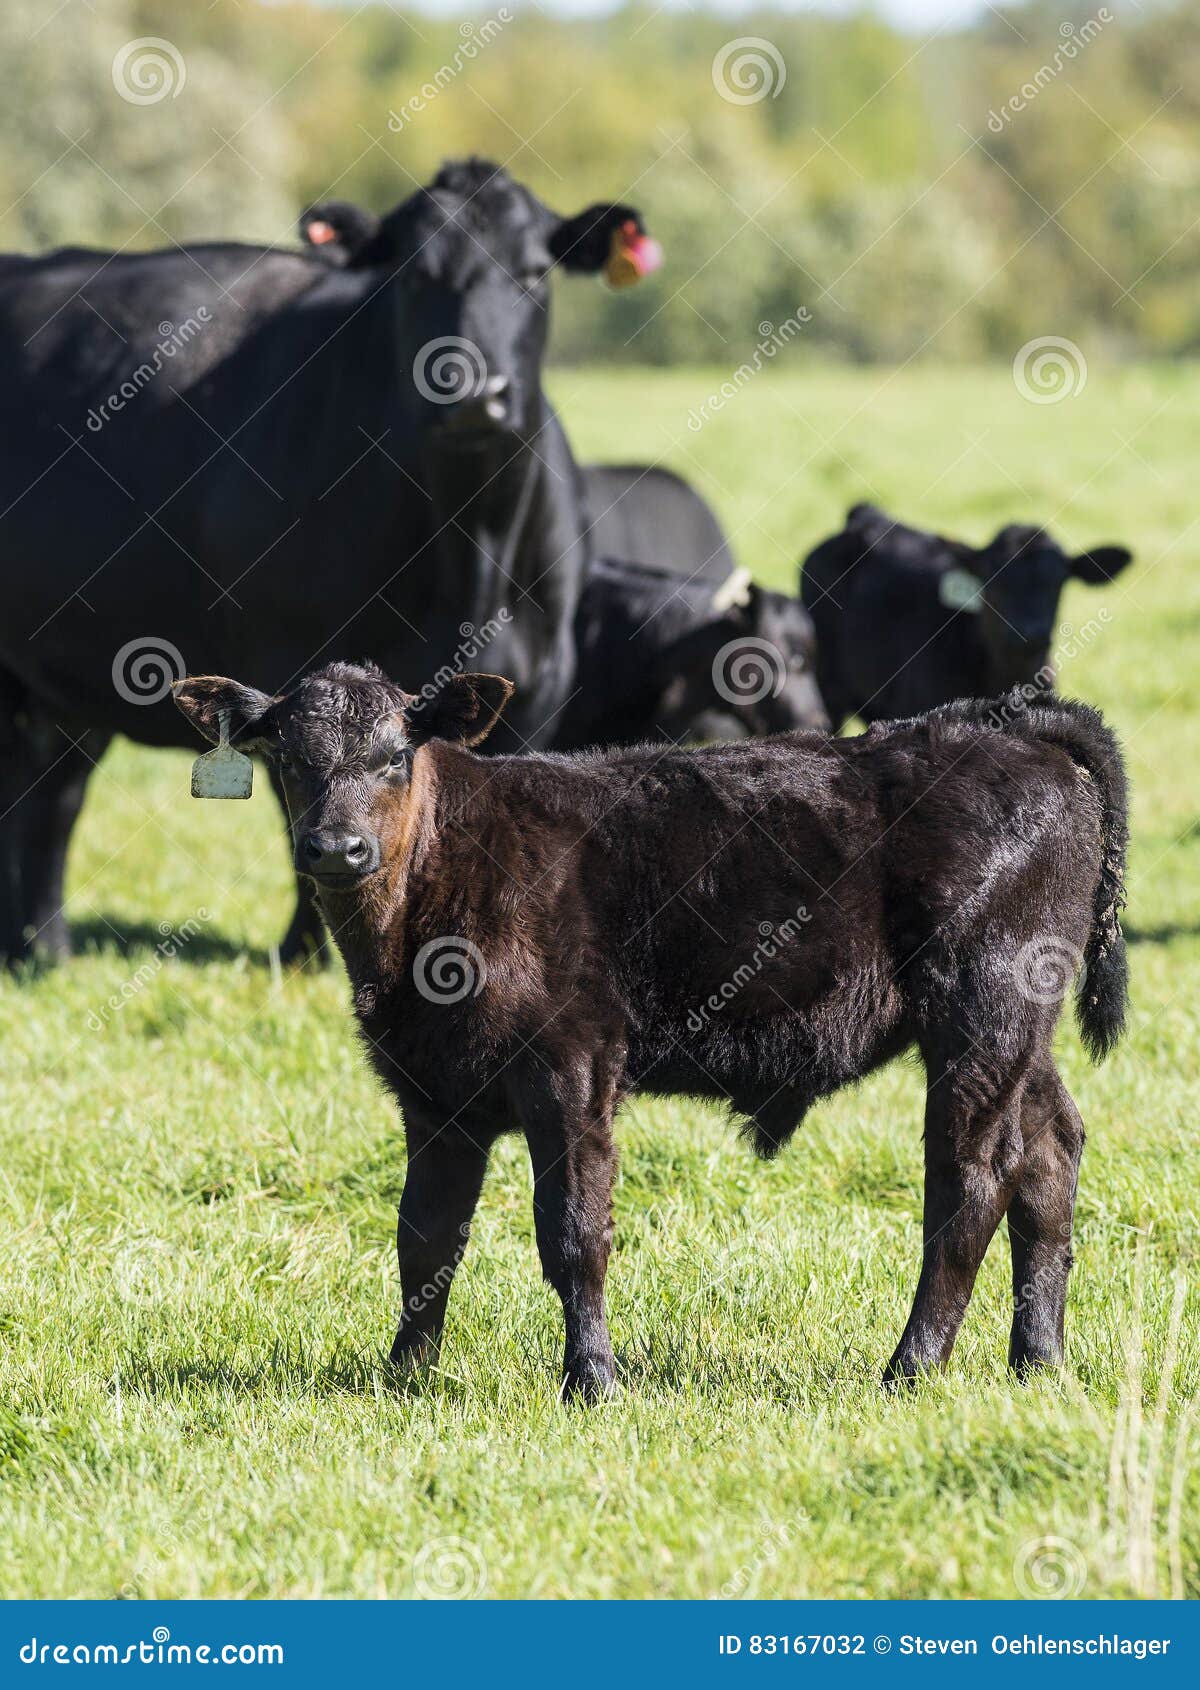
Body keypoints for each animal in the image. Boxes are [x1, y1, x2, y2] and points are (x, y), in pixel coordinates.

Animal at [0, 160, 657, 964]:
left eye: (534, 272)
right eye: (411, 275)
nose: (474, 393)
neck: (472, 551)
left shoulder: (539, 684)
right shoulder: (287, 669)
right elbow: (302, 818)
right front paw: (308, 955)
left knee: (47, 795)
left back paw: (42, 949)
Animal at [174, 659, 1128, 1401]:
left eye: (393, 756)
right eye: (290, 760)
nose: (337, 849)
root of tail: (1008, 729)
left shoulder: (572, 1064)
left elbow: (573, 1232)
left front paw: (591, 1380)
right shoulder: (430, 1091)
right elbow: (425, 1234)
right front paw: (405, 1375)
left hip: (982, 1009)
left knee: (971, 1180)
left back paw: (911, 1368)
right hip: (1020, 1034)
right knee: (1050, 1155)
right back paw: (1038, 1362)